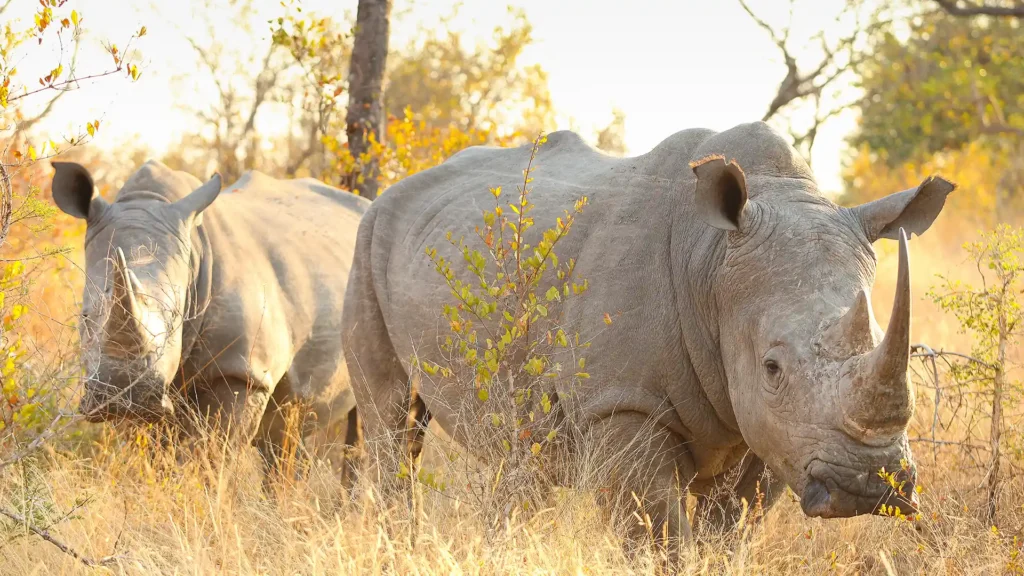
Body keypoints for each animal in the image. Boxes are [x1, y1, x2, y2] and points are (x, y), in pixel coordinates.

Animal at [51, 159, 370, 475]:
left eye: (175, 317)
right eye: (85, 316)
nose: (124, 395)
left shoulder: (241, 370)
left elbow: (212, 455)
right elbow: (153, 458)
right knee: (290, 428)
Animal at [342, 120, 950, 541]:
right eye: (773, 367)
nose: (870, 484)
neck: (712, 263)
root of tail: (393, 189)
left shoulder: (779, 434)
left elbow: (728, 534)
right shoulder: (620, 402)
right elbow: (659, 536)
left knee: (522, 457)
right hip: (367, 239)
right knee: (391, 420)